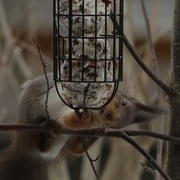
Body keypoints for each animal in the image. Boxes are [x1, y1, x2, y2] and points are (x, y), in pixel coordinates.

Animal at [0, 73, 164, 180]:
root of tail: (22, 148)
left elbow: (76, 140)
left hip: (60, 141)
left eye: (113, 126)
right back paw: (49, 122)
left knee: (62, 148)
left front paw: (99, 129)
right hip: (34, 108)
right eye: (124, 102)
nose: (108, 117)